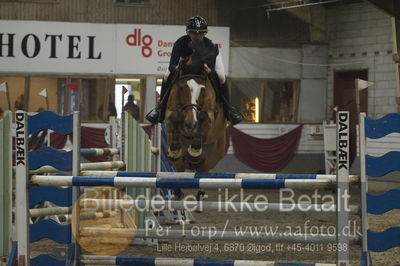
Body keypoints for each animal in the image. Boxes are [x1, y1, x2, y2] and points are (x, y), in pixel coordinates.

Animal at [164, 40, 227, 177]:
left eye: (203, 89)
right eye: (181, 88)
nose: (190, 124)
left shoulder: (210, 116)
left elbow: (204, 116)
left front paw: (194, 152)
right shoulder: (170, 111)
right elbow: (174, 116)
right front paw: (175, 150)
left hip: (211, 157)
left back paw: (195, 155)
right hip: (180, 163)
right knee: (180, 167)